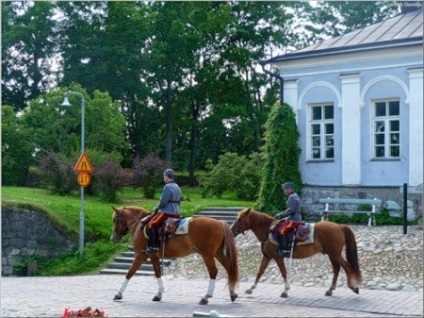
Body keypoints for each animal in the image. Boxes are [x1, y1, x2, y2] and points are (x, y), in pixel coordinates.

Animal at [109, 206, 238, 306]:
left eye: (115, 220)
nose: (112, 238)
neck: (140, 224)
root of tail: (219, 222)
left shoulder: (140, 256)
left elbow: (129, 273)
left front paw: (118, 293)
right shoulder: (154, 257)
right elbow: (157, 273)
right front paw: (158, 294)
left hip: (207, 255)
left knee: (213, 272)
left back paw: (206, 297)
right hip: (218, 254)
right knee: (229, 270)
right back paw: (232, 293)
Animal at [230, 209, 362, 298]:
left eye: (240, 219)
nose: (231, 230)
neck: (268, 230)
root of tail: (339, 226)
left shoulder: (278, 257)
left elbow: (283, 272)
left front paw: (285, 290)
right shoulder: (267, 257)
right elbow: (260, 272)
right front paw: (251, 288)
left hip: (335, 255)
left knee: (347, 267)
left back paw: (353, 287)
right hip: (332, 255)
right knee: (337, 269)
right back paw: (330, 290)